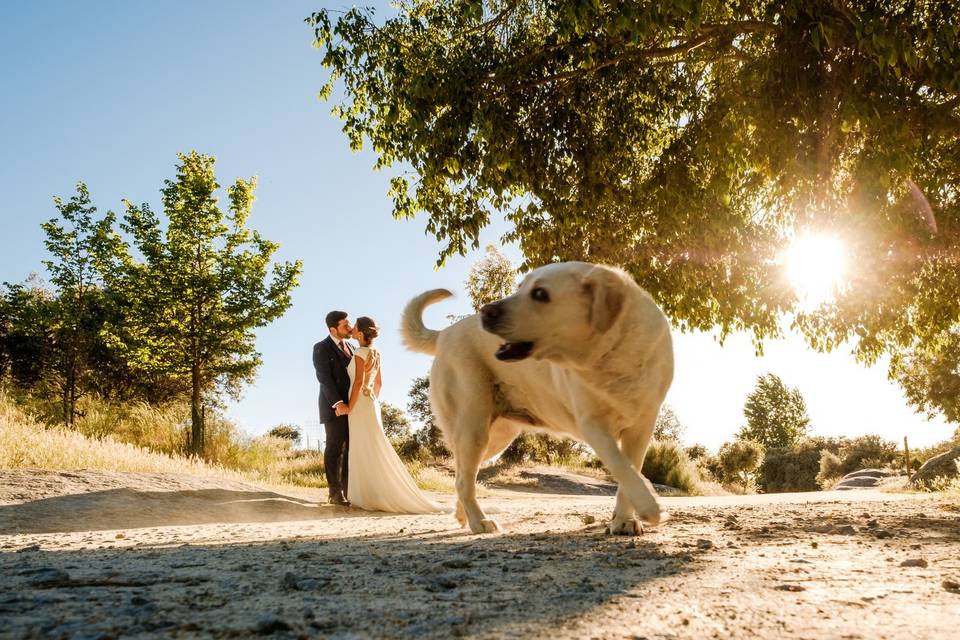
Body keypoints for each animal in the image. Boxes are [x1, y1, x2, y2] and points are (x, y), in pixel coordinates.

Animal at [400, 260, 676, 536]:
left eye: (540, 294)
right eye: (520, 287)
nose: (485, 311)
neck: (614, 354)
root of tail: (444, 334)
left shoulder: (642, 426)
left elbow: (630, 473)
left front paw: (624, 520)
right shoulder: (592, 424)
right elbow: (623, 469)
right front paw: (650, 507)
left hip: (495, 437)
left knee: (463, 475)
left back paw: (463, 516)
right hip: (473, 428)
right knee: (462, 479)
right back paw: (479, 521)